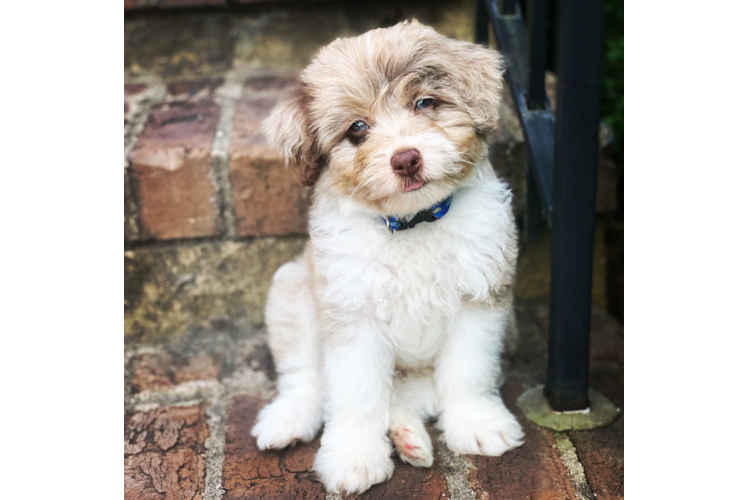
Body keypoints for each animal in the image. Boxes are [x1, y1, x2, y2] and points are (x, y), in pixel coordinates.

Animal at [248, 21, 524, 494]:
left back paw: (408, 438)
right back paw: (288, 420)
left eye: (424, 103)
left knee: (407, 394)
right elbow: (356, 392)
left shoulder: (480, 297)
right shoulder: (351, 310)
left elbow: (469, 371)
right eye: (357, 128)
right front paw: (354, 457)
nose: (407, 158)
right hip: (291, 291)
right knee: (307, 378)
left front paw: (478, 424)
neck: (413, 223)